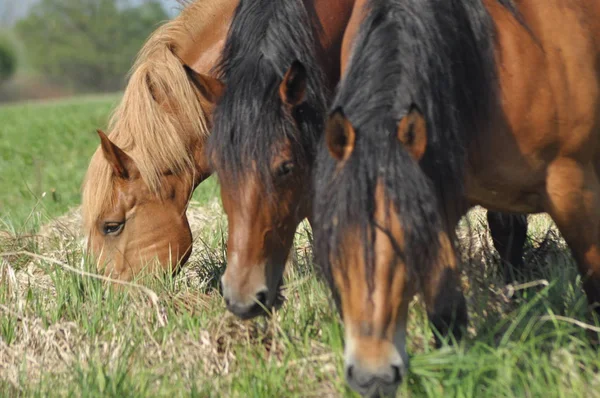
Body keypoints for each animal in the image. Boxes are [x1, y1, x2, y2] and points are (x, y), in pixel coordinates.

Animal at [312, 0, 600, 396]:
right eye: (332, 248)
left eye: (411, 248)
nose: (373, 377)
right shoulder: (439, 197)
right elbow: (446, 313)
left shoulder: (575, 190)